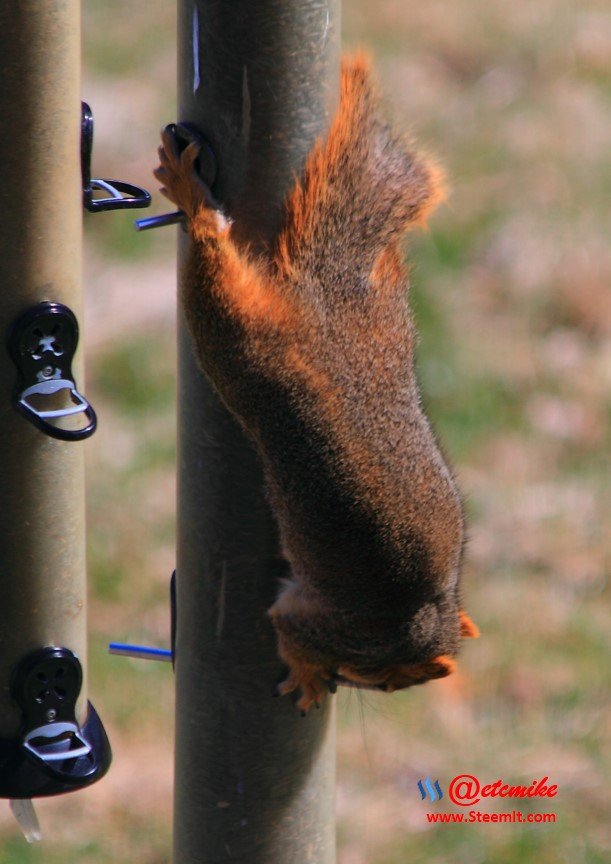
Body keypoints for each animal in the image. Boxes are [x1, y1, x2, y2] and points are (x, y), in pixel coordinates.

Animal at [153, 52, 478, 708]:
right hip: (244, 353)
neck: (419, 617)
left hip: (385, 322)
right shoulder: (318, 624)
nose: (355, 685)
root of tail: (322, 311)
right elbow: (289, 630)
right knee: (213, 277)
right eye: (384, 678)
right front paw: (306, 676)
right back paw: (192, 202)